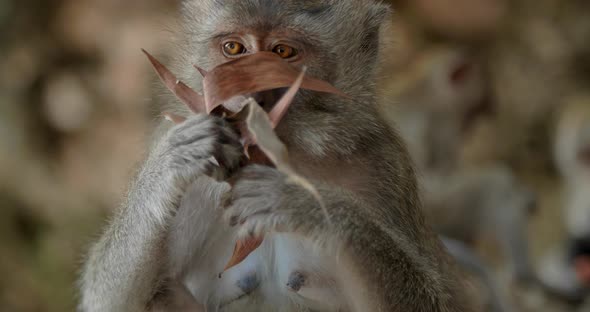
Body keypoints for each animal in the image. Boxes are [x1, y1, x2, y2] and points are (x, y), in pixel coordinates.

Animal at [80, 1, 476, 310]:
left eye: (283, 52)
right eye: (234, 48)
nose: (244, 93)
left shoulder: (383, 165)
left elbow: (438, 299)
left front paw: (302, 202)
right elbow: (108, 298)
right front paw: (177, 156)